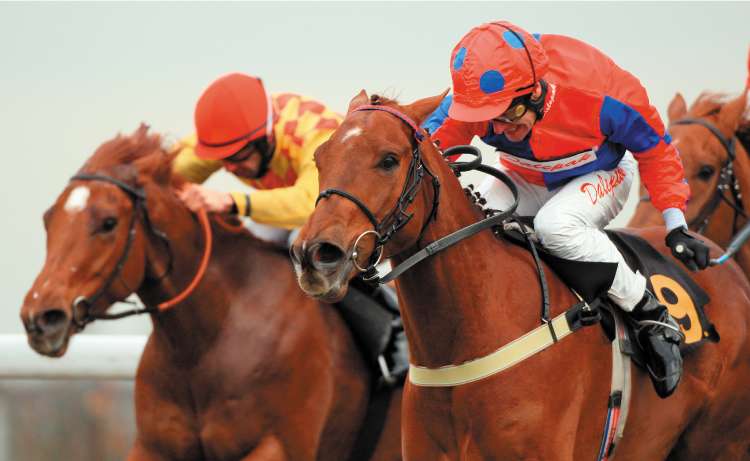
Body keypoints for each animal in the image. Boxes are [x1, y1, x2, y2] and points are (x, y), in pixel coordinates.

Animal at [19, 127, 400, 460]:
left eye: (108, 222)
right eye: (47, 219)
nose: (41, 317)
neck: (204, 344)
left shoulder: (280, 444)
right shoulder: (153, 447)